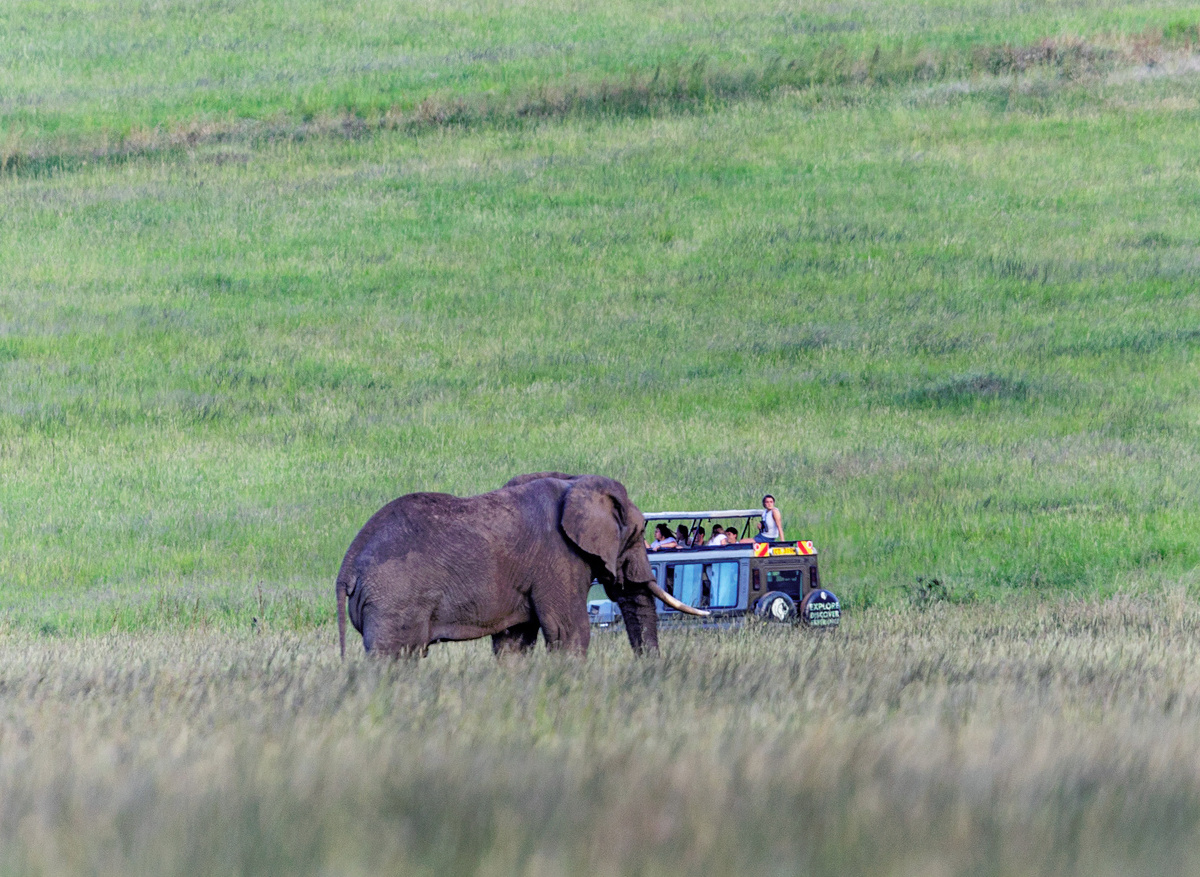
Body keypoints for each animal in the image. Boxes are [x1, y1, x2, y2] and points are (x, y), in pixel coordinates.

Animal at [336, 472, 706, 658]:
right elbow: (569, 631)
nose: (649, 674)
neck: (575, 482)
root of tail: (348, 565)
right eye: (639, 531)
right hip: (393, 598)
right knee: (396, 657)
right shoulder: (557, 558)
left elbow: (513, 642)